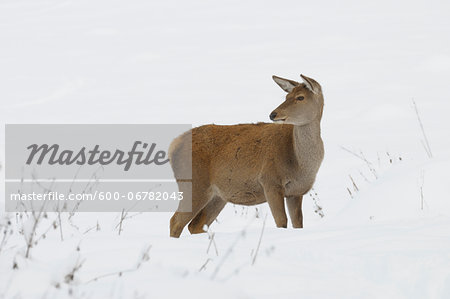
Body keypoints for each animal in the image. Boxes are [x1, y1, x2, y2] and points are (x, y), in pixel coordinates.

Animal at [169, 74, 324, 239]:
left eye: (300, 97)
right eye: (287, 96)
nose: (273, 114)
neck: (299, 163)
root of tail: (173, 146)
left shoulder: (296, 191)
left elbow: (298, 223)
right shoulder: (270, 181)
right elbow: (281, 221)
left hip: (218, 196)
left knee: (195, 225)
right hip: (193, 184)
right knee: (176, 221)